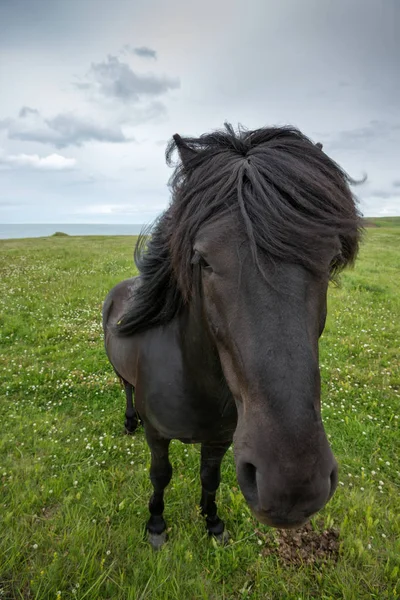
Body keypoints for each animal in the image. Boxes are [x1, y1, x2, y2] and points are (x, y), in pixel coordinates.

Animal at [101, 124, 360, 552]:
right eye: (203, 259)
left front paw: (213, 522)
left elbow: (210, 478)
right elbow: (160, 475)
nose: (293, 486)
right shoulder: (158, 436)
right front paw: (156, 525)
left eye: (329, 259)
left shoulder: (221, 440)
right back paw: (128, 420)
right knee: (125, 388)